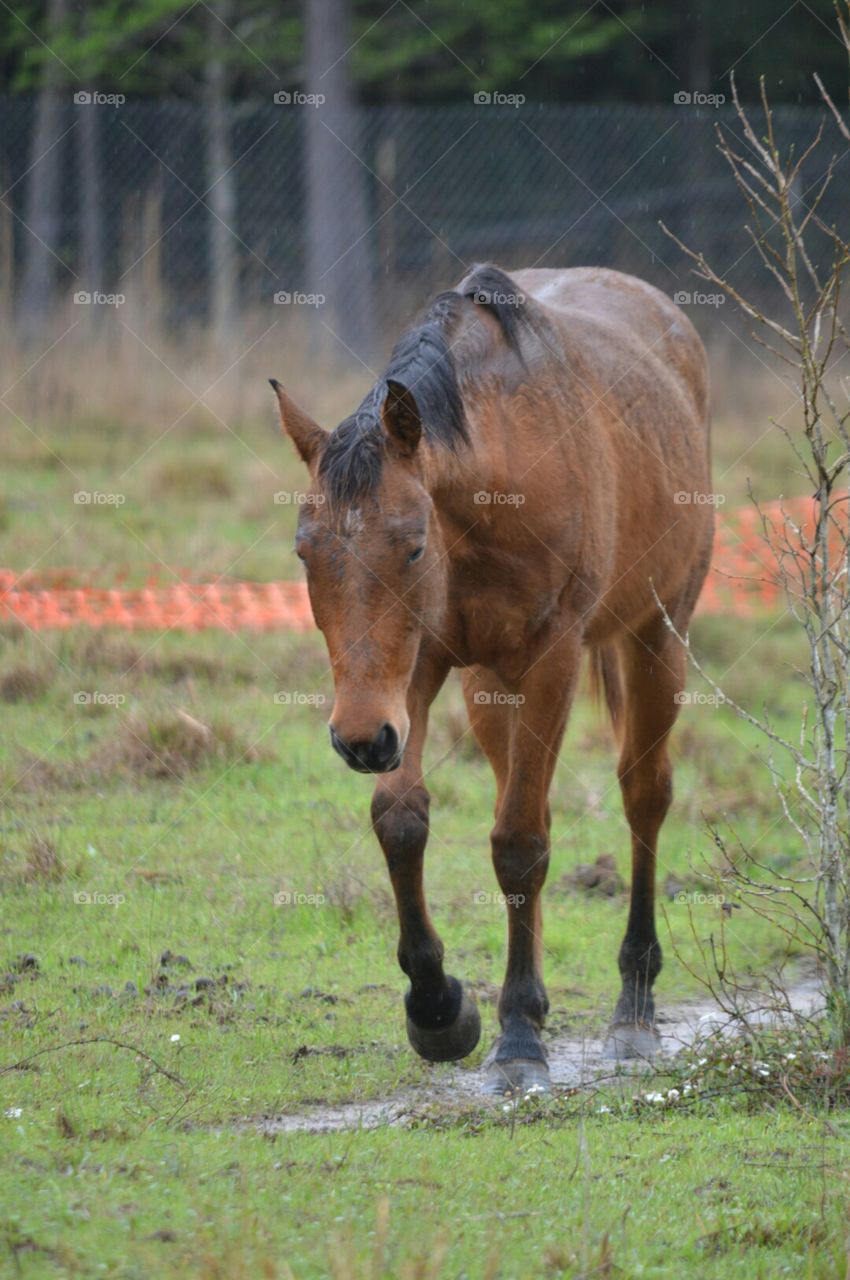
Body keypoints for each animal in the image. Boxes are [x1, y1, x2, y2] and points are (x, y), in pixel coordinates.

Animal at [270, 263, 713, 1095]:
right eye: (305, 551)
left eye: (413, 546)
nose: (357, 738)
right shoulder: (418, 668)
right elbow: (403, 819)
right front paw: (440, 1009)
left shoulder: (552, 658)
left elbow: (519, 842)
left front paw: (517, 1040)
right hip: (485, 686)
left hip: (656, 638)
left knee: (644, 796)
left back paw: (634, 1007)